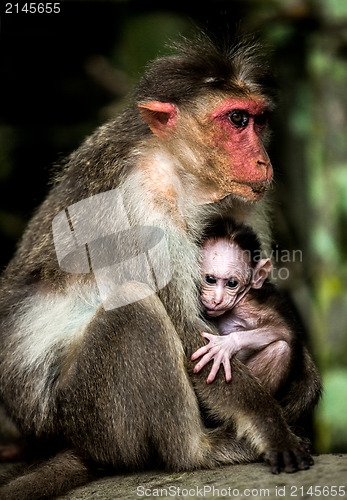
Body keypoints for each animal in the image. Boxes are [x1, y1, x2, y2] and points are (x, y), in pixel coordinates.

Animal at [193, 220, 296, 394]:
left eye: (232, 283)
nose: (217, 300)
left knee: (281, 349)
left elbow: (283, 331)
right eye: (210, 279)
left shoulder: (247, 307)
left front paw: (226, 344)